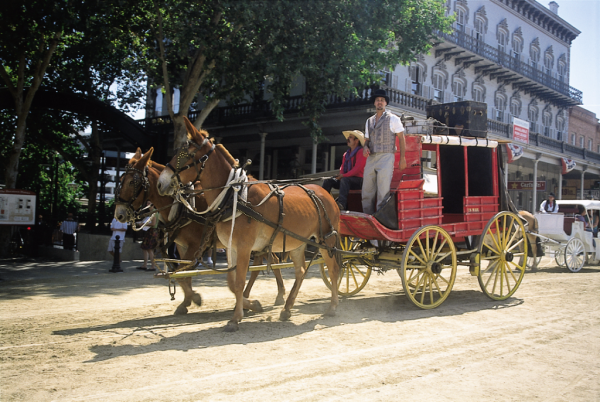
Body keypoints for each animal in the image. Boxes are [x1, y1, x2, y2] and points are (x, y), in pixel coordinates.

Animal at [116, 148, 288, 318]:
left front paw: (194, 298)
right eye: (121, 180)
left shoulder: (195, 245)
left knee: (266, 263)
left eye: (132, 182)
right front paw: (186, 301)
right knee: (269, 261)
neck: (181, 206)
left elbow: (183, 273)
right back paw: (270, 295)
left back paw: (269, 296)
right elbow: (183, 274)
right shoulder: (182, 246)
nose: (119, 214)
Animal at [156, 118, 342, 332]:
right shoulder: (231, 247)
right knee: (301, 271)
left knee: (333, 270)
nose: (160, 183)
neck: (235, 196)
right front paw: (252, 305)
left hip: (326, 241)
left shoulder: (244, 247)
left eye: (187, 154)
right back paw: (287, 308)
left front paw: (236, 318)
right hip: (297, 242)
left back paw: (333, 306)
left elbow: (238, 283)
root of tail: (325, 193)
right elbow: (231, 283)